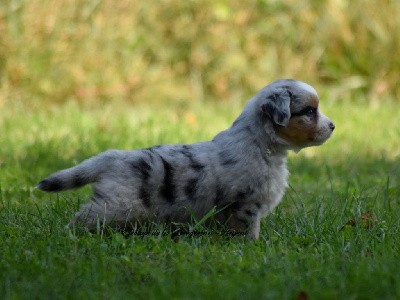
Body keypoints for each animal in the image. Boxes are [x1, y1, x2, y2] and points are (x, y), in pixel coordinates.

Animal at [36, 79, 334, 239]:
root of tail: (113, 157)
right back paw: (68, 234)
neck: (260, 143)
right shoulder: (247, 204)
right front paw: (253, 246)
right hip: (117, 205)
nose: (332, 126)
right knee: (84, 217)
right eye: (310, 111)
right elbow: (250, 229)